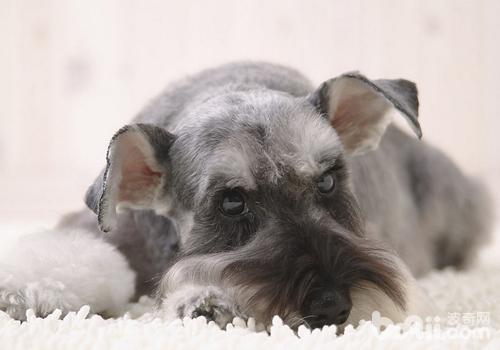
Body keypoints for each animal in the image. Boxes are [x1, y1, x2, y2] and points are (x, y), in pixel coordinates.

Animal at [0, 60, 492, 330]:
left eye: (328, 180)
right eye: (232, 201)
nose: (333, 306)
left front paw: (208, 299)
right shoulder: (104, 228)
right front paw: (22, 292)